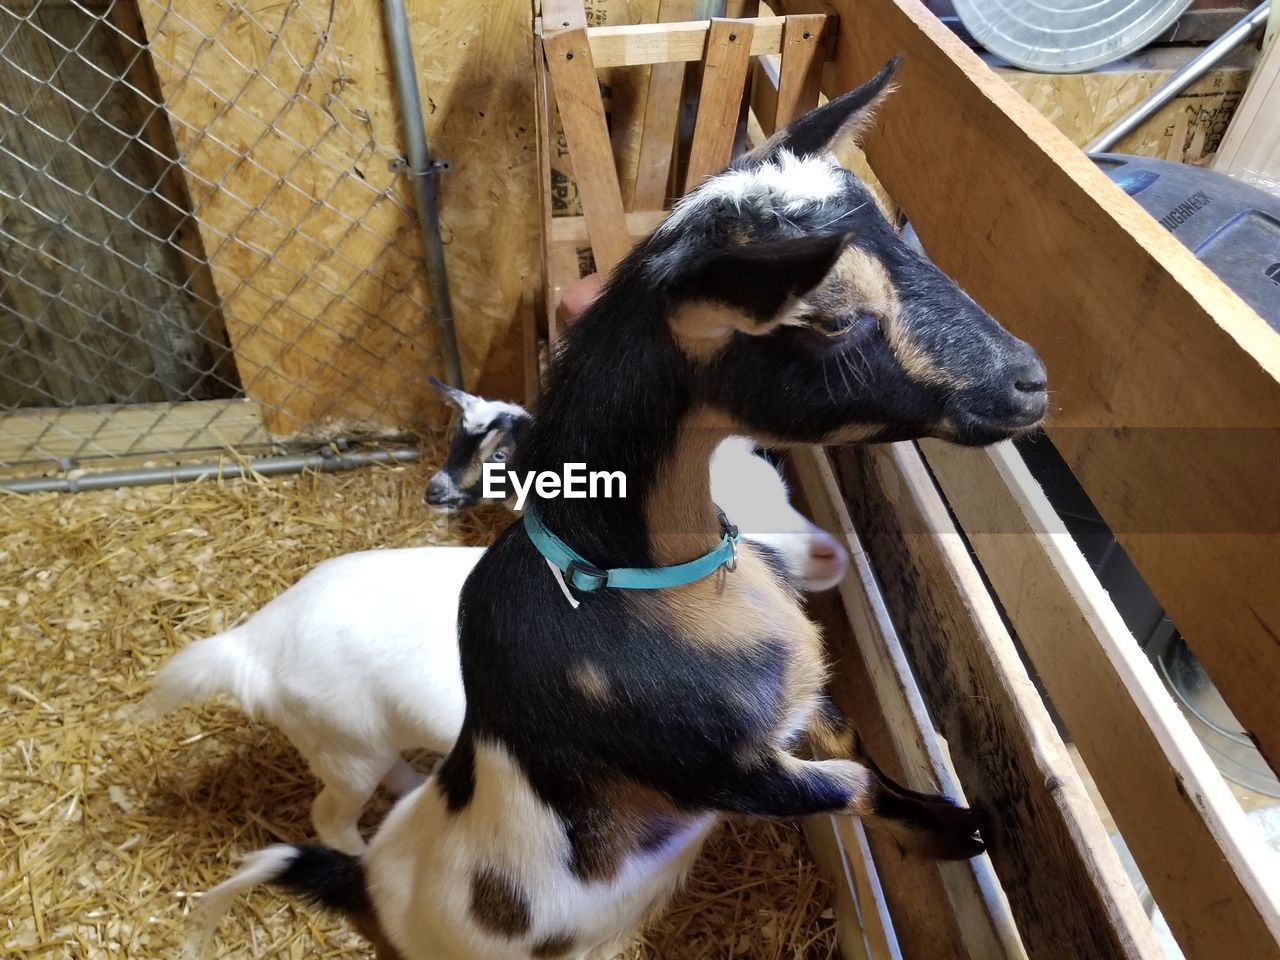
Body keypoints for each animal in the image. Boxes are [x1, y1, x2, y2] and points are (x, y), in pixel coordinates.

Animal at [194, 56, 1044, 957]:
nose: (1032, 381)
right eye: (834, 318)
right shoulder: (726, 771)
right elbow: (849, 781)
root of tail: (365, 893)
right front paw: (957, 835)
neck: (637, 581)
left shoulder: (799, 707)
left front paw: (950, 824)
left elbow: (854, 749)